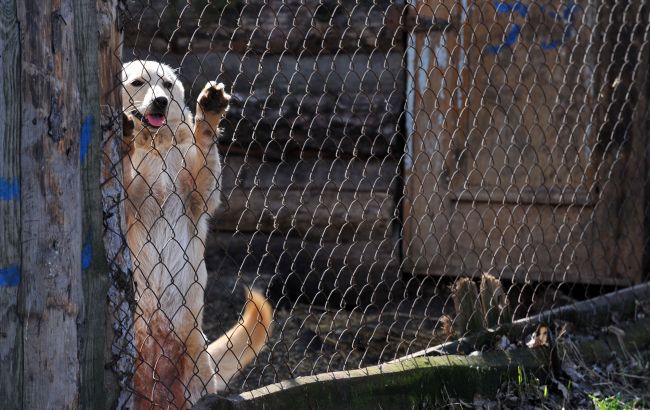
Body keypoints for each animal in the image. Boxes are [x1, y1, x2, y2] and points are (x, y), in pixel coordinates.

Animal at [120, 60, 270, 410]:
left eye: (166, 84)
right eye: (137, 83)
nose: (161, 102)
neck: (156, 146)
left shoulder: (199, 197)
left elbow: (205, 148)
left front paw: (209, 114)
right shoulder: (129, 201)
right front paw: (126, 137)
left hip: (195, 370)